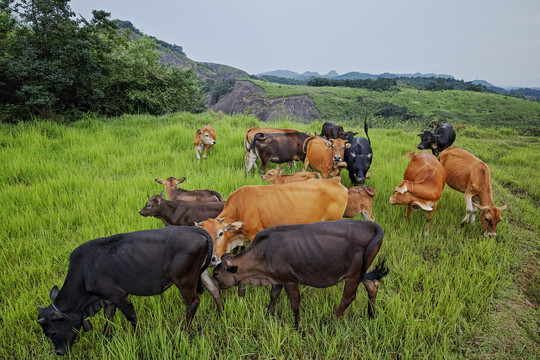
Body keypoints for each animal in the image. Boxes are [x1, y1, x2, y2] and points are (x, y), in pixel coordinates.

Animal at [38, 226, 213, 356]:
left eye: (52, 333)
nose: (59, 352)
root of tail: (194, 229)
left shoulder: (119, 295)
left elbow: (131, 317)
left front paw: (137, 337)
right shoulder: (107, 298)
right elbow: (109, 317)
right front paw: (106, 339)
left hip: (184, 280)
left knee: (192, 303)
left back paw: (182, 331)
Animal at [212, 218, 388, 328]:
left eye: (216, 274)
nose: (213, 285)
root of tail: (368, 225)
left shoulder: (290, 280)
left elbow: (295, 305)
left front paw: (298, 327)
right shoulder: (277, 278)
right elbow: (273, 295)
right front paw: (269, 313)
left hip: (353, 275)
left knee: (348, 298)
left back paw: (332, 321)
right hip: (363, 271)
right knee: (373, 286)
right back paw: (371, 315)